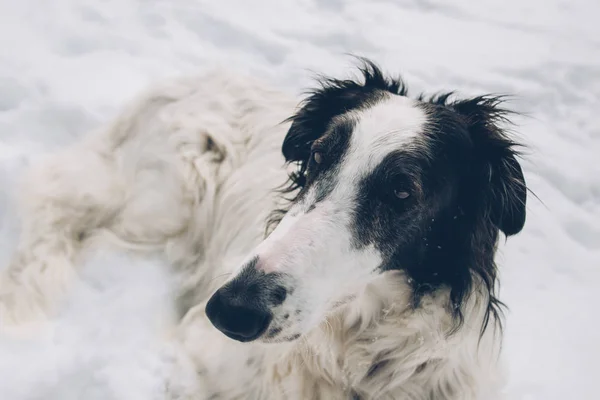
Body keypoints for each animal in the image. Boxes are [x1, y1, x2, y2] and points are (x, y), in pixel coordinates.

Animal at [0, 60, 524, 400]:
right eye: (317, 156)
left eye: (401, 192)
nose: (228, 310)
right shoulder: (194, 357)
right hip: (163, 208)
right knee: (74, 236)